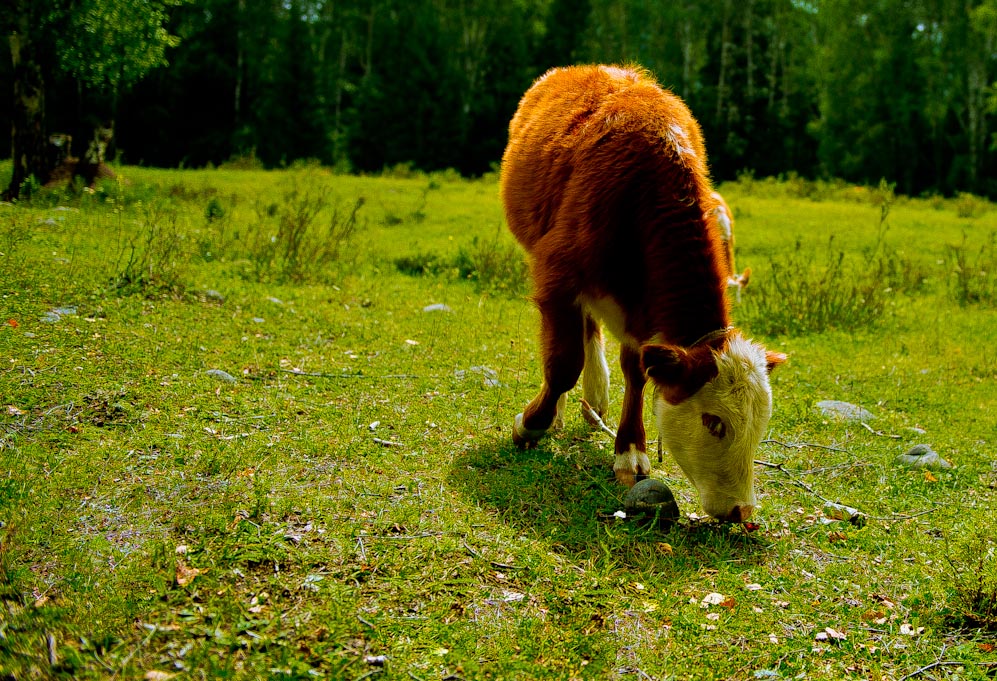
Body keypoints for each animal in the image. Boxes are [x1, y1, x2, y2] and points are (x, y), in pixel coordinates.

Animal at [502, 65, 784, 520]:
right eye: (714, 422)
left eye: (760, 425)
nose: (742, 512)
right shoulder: (556, 276)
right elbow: (561, 363)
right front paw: (532, 424)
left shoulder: (642, 310)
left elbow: (635, 372)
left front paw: (630, 451)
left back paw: (595, 396)